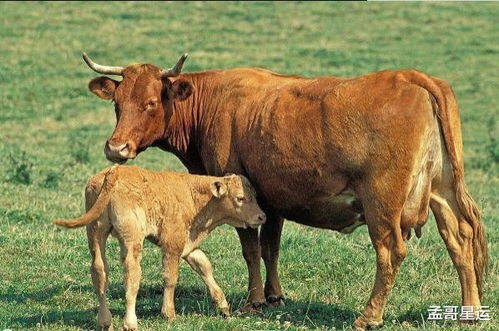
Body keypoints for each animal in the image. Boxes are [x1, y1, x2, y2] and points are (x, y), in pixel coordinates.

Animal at [54, 167, 266, 330]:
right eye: (240, 198)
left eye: (255, 196)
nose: (261, 217)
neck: (192, 194)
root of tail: (115, 171)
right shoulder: (172, 244)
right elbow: (170, 277)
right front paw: (168, 313)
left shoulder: (186, 245)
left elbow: (204, 266)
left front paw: (223, 305)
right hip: (131, 240)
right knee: (131, 274)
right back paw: (130, 323)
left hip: (96, 233)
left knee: (99, 271)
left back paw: (105, 321)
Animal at [81, 53, 488, 330]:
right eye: (118, 104)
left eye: (151, 103)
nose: (115, 148)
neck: (213, 103)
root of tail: (411, 77)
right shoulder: (271, 199)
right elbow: (270, 248)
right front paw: (274, 295)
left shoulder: (241, 197)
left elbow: (250, 249)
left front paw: (254, 300)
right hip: (442, 191)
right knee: (460, 238)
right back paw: (469, 311)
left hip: (382, 204)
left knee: (391, 253)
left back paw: (369, 315)